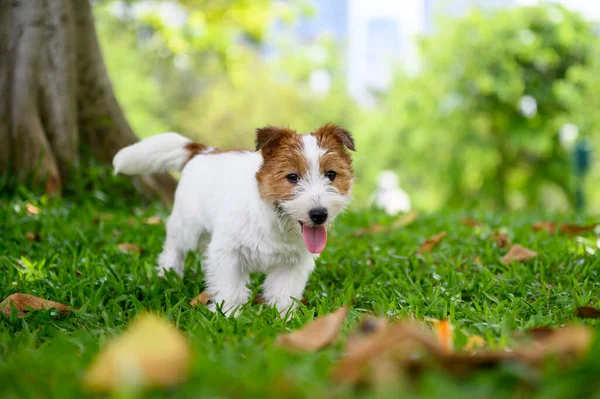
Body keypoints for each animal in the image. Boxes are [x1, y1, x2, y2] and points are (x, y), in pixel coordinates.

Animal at [112, 123, 354, 318]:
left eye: (331, 174)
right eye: (292, 177)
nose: (319, 214)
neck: (274, 220)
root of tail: (205, 151)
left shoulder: (292, 264)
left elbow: (284, 292)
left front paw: (285, 318)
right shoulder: (229, 253)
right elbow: (231, 288)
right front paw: (228, 315)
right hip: (187, 225)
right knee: (175, 246)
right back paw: (168, 273)